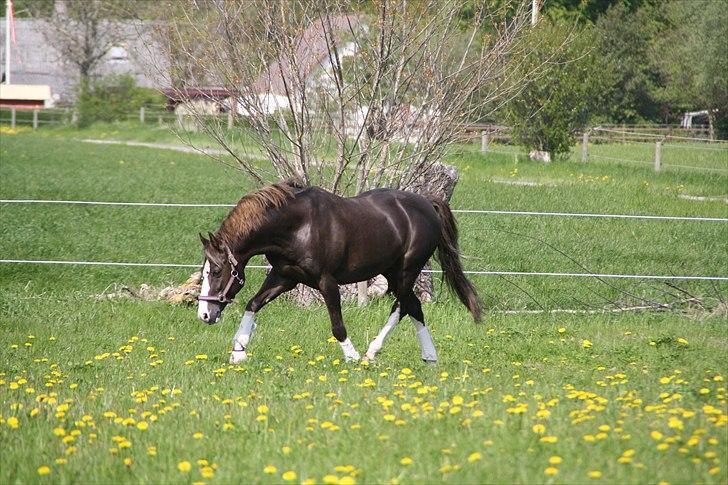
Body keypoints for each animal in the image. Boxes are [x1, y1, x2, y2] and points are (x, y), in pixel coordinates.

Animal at [197, 180, 482, 364]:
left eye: (217, 270)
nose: (204, 315)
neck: (297, 226)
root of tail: (426, 203)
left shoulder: (327, 281)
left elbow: (337, 325)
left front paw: (351, 356)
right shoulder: (285, 277)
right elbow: (253, 304)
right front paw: (239, 350)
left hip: (406, 271)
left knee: (405, 305)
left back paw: (379, 353)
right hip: (392, 272)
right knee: (412, 306)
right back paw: (415, 355)